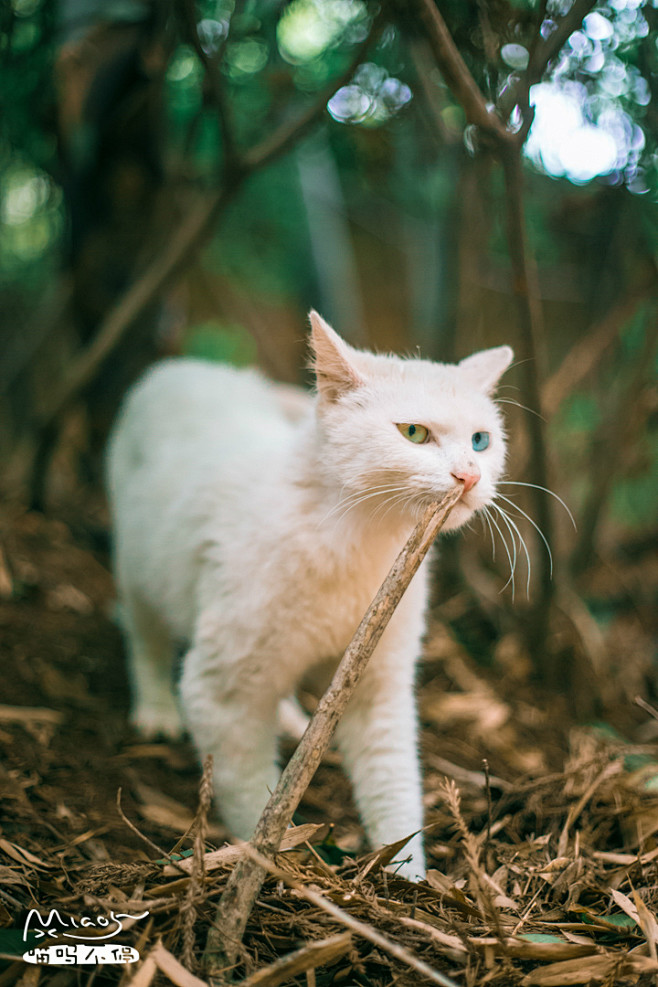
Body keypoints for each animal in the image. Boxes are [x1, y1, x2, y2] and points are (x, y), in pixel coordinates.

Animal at [105, 312, 510, 884]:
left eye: (480, 441)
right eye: (414, 433)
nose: (469, 475)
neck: (361, 544)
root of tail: (181, 367)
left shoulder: (379, 688)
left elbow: (394, 788)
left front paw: (406, 879)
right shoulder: (218, 692)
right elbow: (252, 799)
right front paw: (271, 868)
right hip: (138, 566)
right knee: (146, 636)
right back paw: (156, 709)